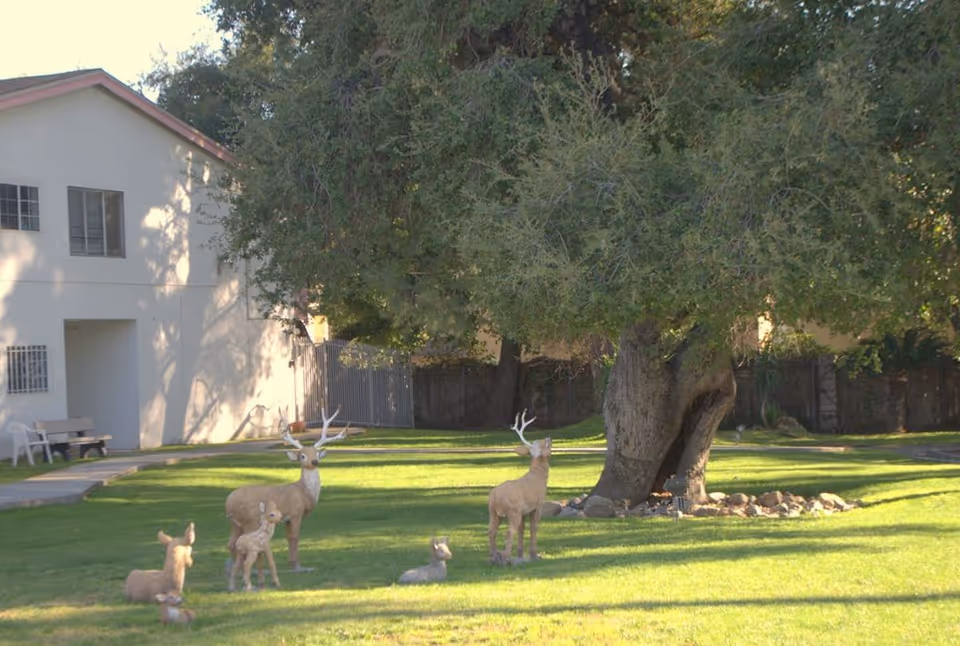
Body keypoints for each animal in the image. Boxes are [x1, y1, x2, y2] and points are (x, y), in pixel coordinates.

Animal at [225, 408, 349, 573]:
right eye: (302, 455)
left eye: (316, 453)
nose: (314, 461)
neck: (304, 492)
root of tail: (228, 503)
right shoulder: (296, 512)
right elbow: (294, 537)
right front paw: (298, 566)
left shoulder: (287, 519)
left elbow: (288, 537)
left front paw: (292, 564)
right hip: (249, 519)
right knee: (244, 540)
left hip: (235, 523)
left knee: (231, 543)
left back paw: (235, 570)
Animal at [488, 410, 552, 566]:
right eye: (545, 444)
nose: (549, 436)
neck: (538, 477)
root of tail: (494, 496)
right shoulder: (538, 504)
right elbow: (534, 527)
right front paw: (534, 556)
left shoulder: (524, 510)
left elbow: (522, 529)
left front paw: (521, 556)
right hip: (513, 511)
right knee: (509, 531)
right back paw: (506, 559)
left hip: (493, 512)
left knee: (491, 531)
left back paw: (493, 558)